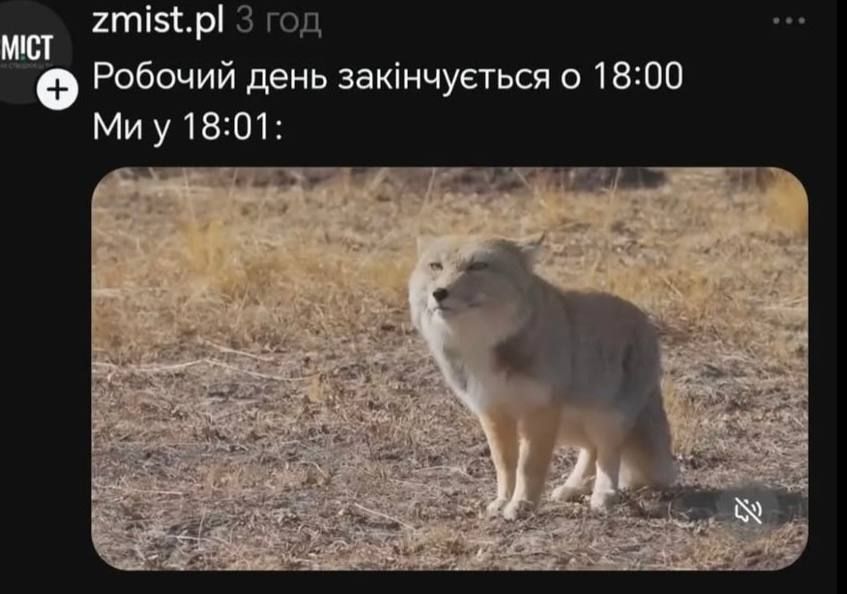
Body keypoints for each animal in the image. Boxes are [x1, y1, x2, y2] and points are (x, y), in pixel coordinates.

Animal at [408, 232, 677, 520]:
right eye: (436, 266)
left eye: (477, 266)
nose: (439, 293)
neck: (479, 344)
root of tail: (646, 324)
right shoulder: (493, 411)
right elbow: (504, 464)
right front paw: (502, 501)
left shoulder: (539, 411)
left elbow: (529, 466)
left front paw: (522, 505)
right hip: (573, 426)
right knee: (590, 450)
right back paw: (573, 487)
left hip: (606, 421)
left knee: (608, 455)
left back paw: (603, 495)